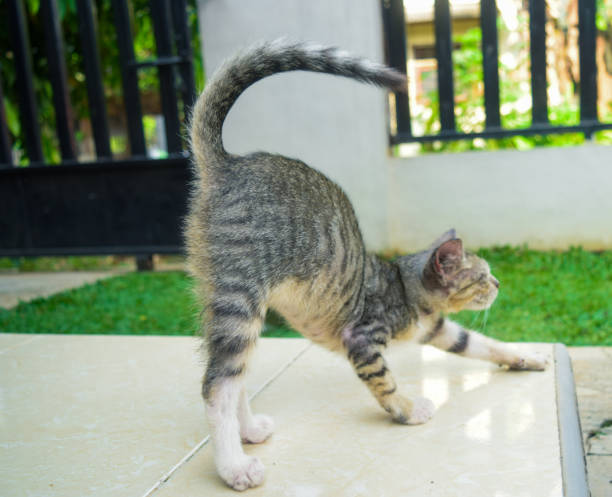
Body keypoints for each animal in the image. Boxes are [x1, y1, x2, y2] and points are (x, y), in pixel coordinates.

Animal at [185, 40, 544, 490]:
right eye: (481, 277)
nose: (498, 284)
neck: (405, 286)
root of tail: (228, 162)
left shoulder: (439, 329)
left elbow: (481, 344)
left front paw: (525, 357)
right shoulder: (363, 338)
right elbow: (385, 382)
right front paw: (408, 409)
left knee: (236, 378)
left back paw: (247, 430)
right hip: (241, 297)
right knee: (217, 384)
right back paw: (234, 465)